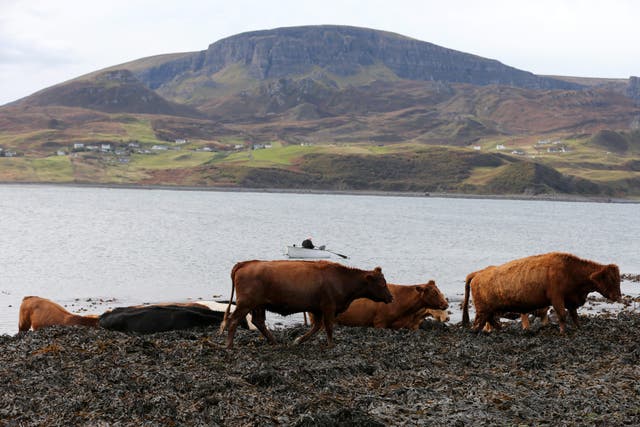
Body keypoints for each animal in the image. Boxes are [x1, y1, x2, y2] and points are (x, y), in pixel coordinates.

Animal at [220, 260, 392, 348]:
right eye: (382, 283)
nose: (391, 297)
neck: (341, 279)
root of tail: (245, 263)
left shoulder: (317, 309)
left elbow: (317, 327)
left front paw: (298, 340)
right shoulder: (328, 307)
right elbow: (328, 327)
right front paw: (331, 345)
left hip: (258, 305)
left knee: (258, 321)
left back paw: (274, 342)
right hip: (246, 304)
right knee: (234, 320)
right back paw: (229, 345)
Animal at [462, 252, 624, 332]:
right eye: (610, 279)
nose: (618, 296)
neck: (570, 271)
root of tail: (478, 273)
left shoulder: (570, 300)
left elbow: (574, 316)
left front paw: (579, 328)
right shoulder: (557, 298)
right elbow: (562, 315)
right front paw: (563, 332)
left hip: (489, 309)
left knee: (490, 320)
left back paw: (501, 329)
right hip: (482, 310)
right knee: (480, 323)